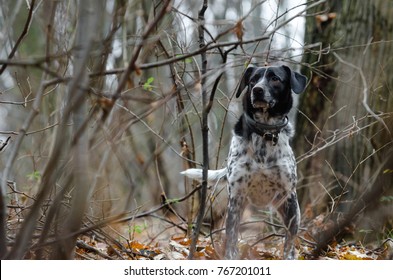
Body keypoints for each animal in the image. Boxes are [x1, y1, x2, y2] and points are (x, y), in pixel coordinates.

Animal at [181, 64, 306, 260]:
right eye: (253, 80)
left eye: (275, 78)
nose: (257, 90)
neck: (265, 133)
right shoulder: (236, 198)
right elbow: (232, 238)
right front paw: (230, 257)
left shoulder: (289, 197)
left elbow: (289, 241)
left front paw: (289, 257)